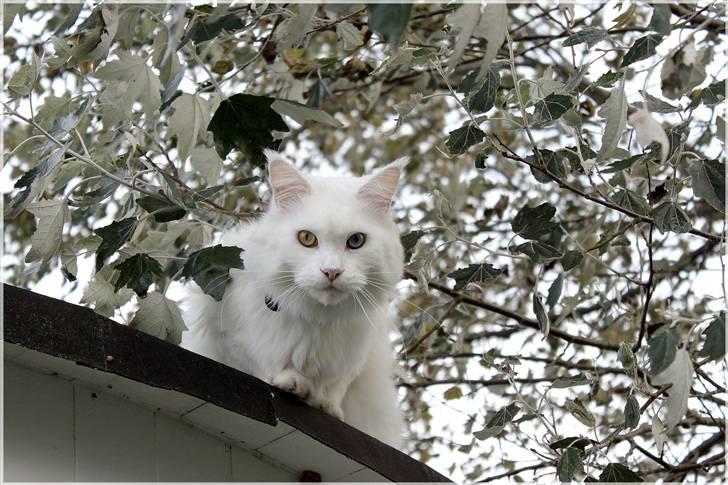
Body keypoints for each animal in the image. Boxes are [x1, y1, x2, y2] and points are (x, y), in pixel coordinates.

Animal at [181, 150, 406, 446]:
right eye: (307, 238)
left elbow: (333, 387)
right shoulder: (229, 337)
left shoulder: (355, 358)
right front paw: (293, 383)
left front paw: (325, 406)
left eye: (356, 241)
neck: (318, 319)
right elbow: (263, 366)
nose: (331, 271)